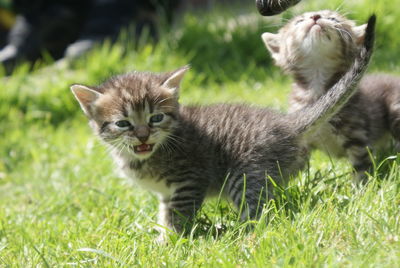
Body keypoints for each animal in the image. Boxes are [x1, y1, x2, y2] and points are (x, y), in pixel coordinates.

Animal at [70, 15, 374, 240]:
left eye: (156, 118)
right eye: (123, 124)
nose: (143, 135)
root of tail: (286, 123)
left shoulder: (190, 178)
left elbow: (178, 215)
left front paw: (171, 242)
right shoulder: (166, 193)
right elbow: (165, 213)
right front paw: (162, 237)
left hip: (247, 172)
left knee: (257, 213)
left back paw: (236, 234)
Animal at [260, 10, 396, 182]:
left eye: (333, 19)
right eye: (299, 21)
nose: (315, 16)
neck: (317, 82)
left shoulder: (357, 137)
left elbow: (361, 167)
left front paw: (359, 187)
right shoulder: (301, 138)